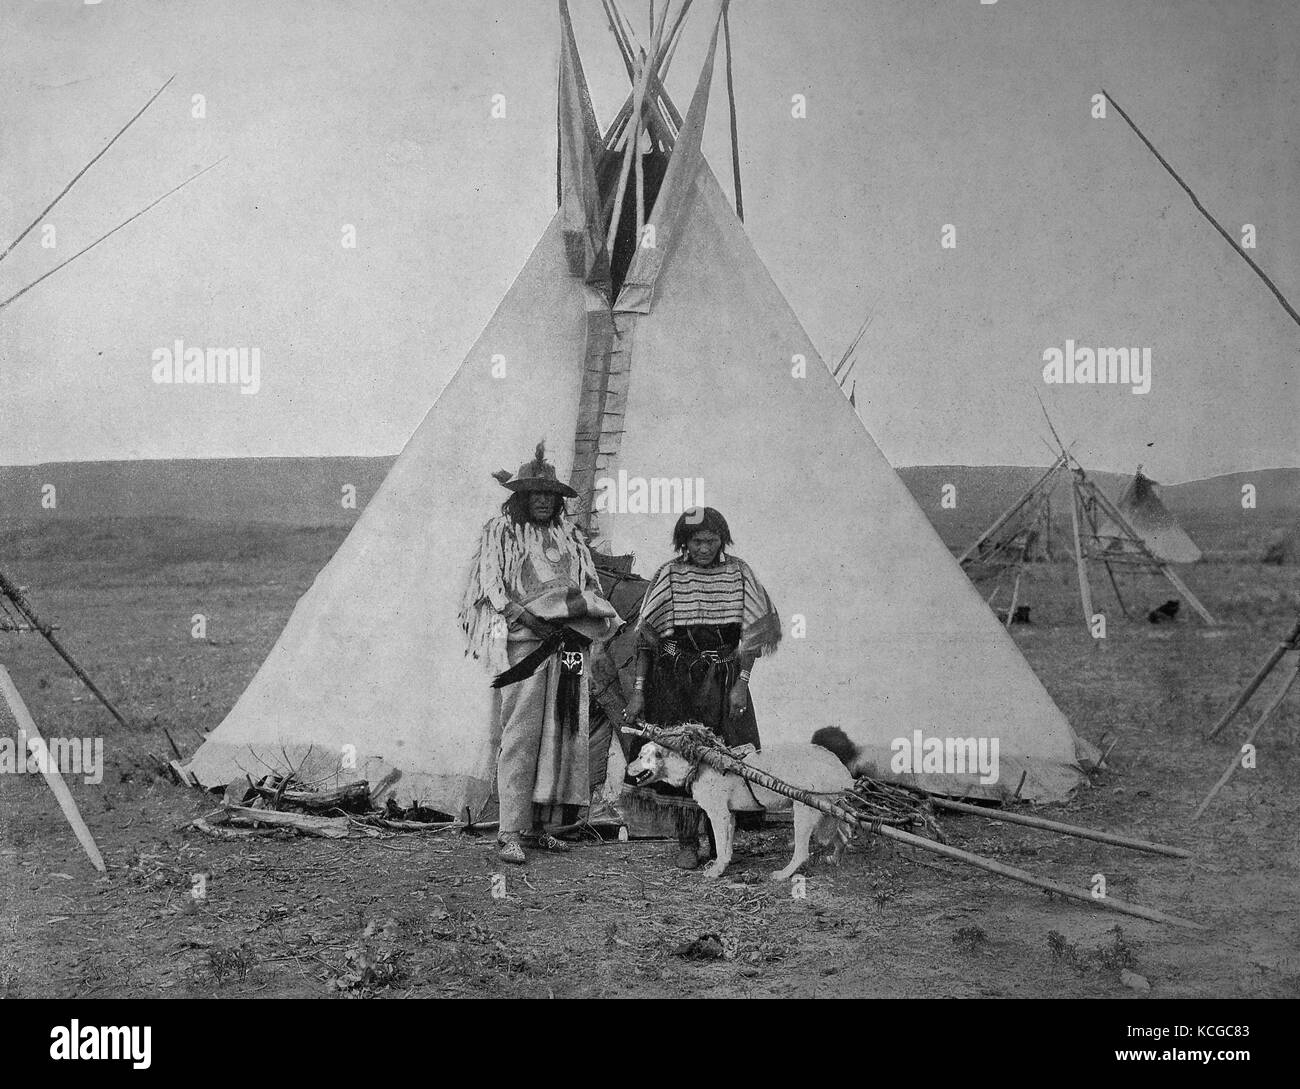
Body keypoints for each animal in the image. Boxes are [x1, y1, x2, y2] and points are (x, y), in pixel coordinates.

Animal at [626, 732, 857, 888]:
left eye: (640, 756)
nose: (627, 768)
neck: (698, 760)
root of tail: (840, 768)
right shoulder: (729, 816)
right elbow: (726, 847)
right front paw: (723, 865)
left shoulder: (718, 815)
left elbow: (720, 845)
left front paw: (716, 871)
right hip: (829, 812)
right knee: (844, 836)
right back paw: (835, 860)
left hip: (804, 813)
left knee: (802, 852)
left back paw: (783, 874)